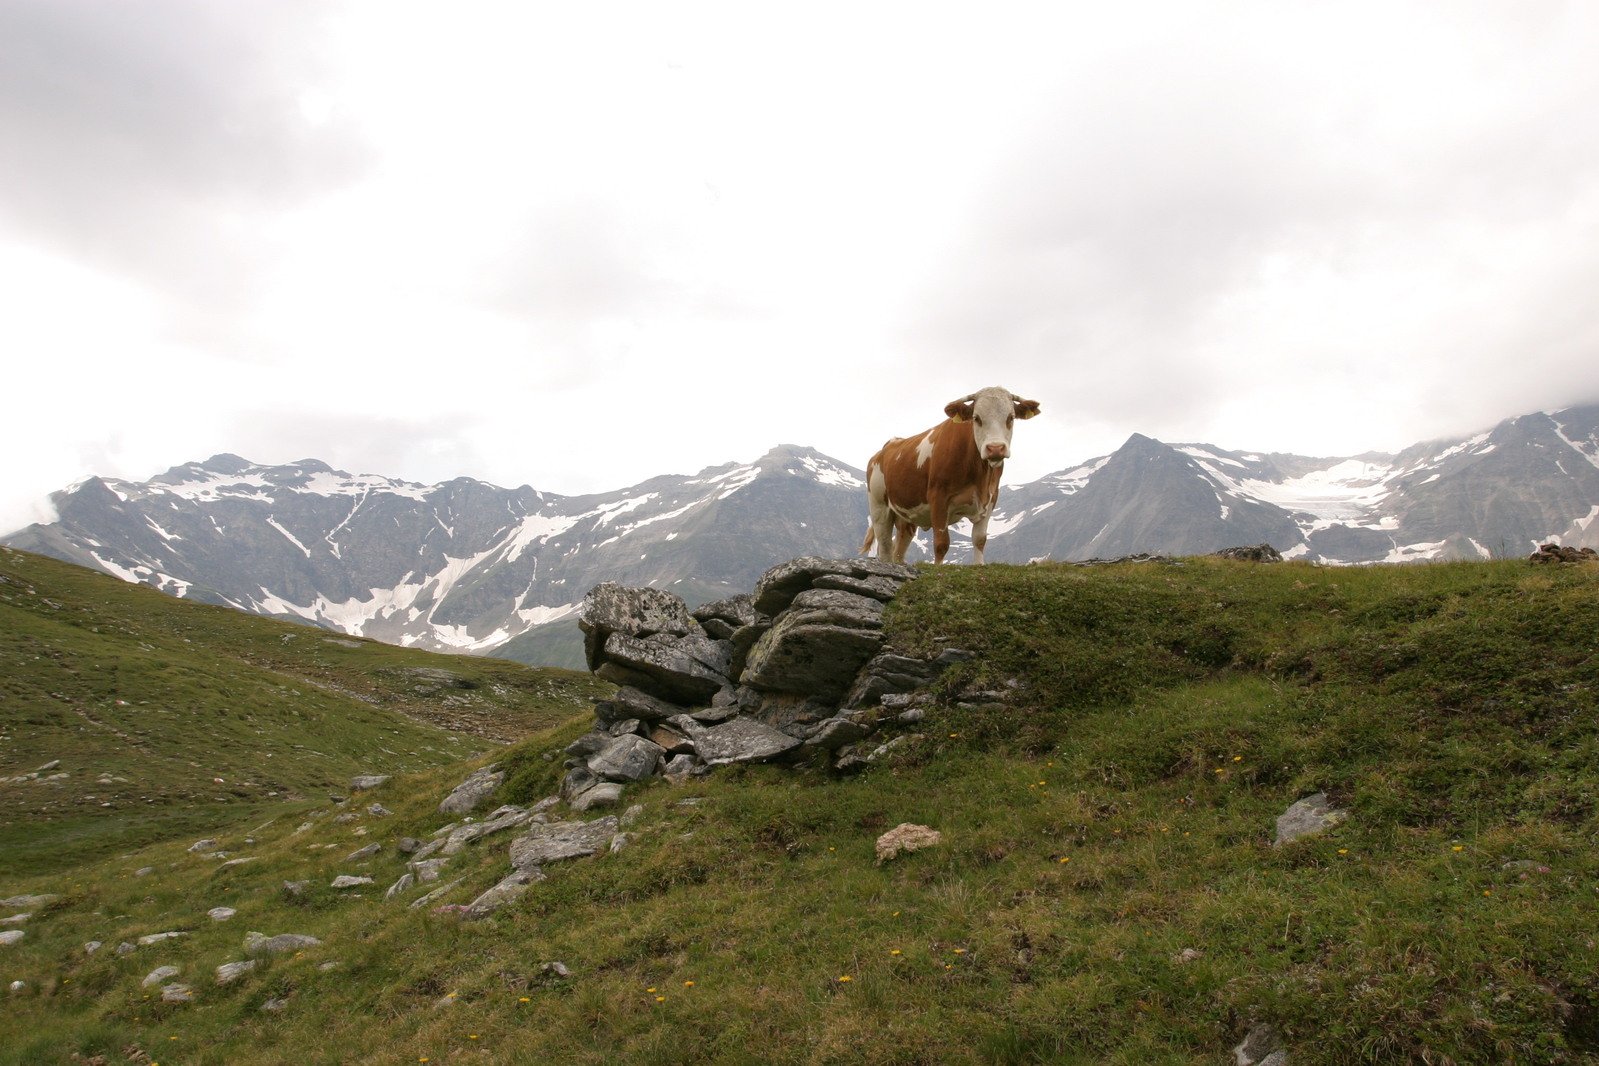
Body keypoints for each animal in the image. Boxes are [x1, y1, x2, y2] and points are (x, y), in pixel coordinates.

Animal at [857, 385, 1042, 565]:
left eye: (1010, 418)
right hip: (879, 506)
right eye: (976, 418)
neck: (979, 476)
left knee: (898, 550)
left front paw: (979, 566)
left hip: (906, 517)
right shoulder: (938, 497)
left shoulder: (990, 499)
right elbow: (941, 544)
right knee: (885, 546)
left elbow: (979, 540)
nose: (995, 448)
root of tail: (887, 447)